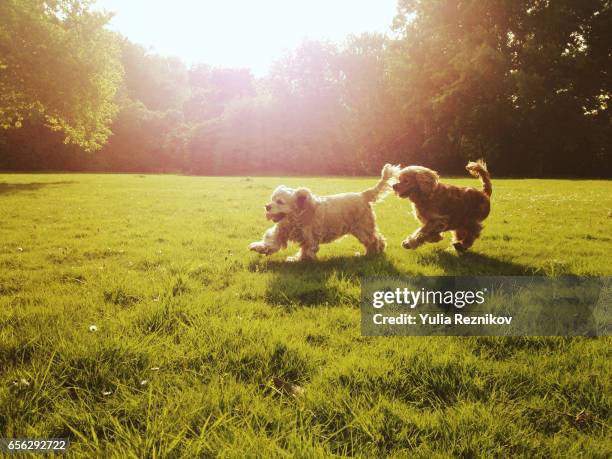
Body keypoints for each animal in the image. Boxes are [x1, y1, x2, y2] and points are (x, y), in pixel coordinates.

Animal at [247, 165, 396, 260]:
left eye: (280, 202)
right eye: (272, 199)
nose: (267, 206)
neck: (297, 216)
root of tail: (363, 195)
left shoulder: (310, 237)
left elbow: (307, 250)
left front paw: (302, 259)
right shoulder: (282, 232)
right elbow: (271, 242)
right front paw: (258, 247)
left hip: (363, 229)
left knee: (374, 240)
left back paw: (372, 254)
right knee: (377, 239)